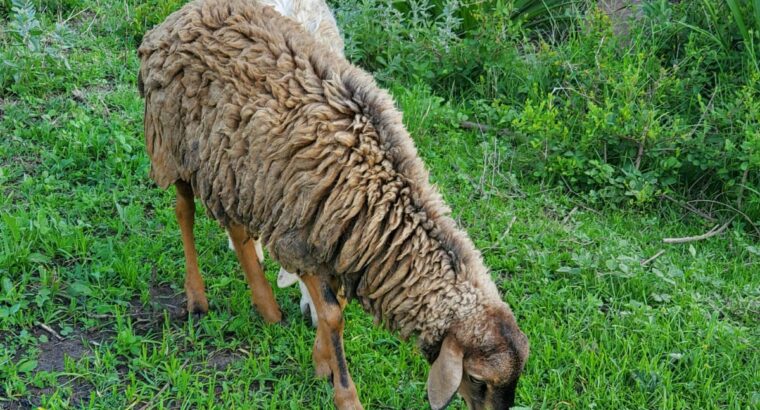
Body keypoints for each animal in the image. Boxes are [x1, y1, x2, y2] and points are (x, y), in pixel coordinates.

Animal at [137, 1, 528, 408]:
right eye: (477, 378)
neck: (381, 201)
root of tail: (182, 16)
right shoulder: (299, 238)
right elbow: (332, 314)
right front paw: (344, 391)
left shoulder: (338, 240)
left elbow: (332, 305)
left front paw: (321, 360)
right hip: (173, 142)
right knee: (184, 211)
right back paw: (197, 297)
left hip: (236, 168)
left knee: (237, 228)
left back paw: (267, 308)